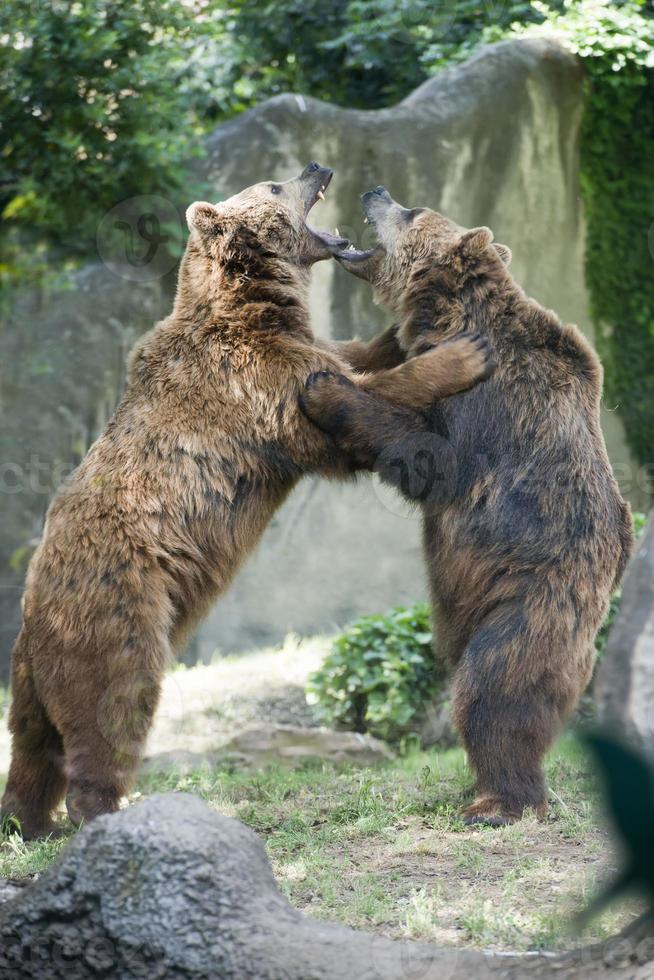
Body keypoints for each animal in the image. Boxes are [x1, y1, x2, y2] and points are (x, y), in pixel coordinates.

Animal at [302, 186, 636, 828]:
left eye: (411, 211)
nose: (375, 190)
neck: (451, 314)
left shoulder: (495, 404)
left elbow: (433, 463)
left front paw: (326, 389)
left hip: (531, 600)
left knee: (493, 692)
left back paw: (498, 801)